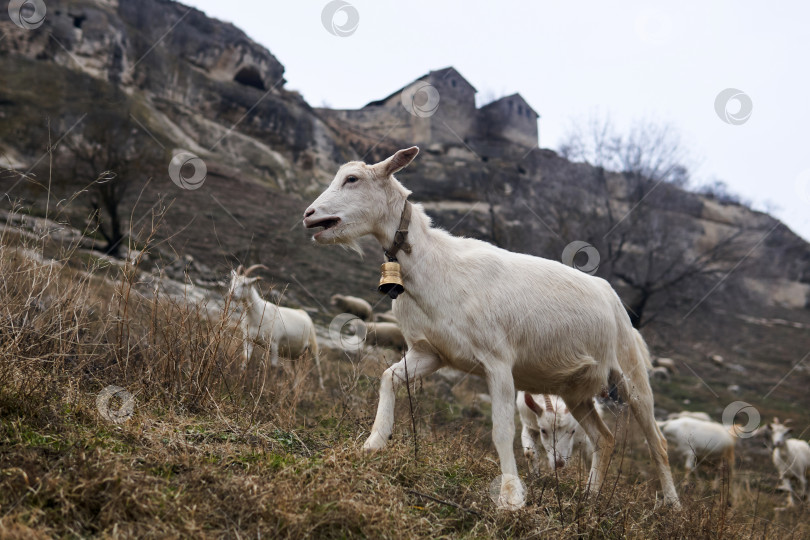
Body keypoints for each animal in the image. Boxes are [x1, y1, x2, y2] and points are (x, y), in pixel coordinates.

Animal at [300, 146, 680, 508]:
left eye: (352, 179)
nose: (309, 215)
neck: (436, 266)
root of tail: (614, 300)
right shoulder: (430, 353)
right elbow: (388, 379)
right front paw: (373, 444)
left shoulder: (498, 362)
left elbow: (501, 431)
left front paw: (510, 497)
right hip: (575, 390)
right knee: (605, 437)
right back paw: (589, 498)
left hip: (631, 373)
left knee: (657, 441)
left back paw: (672, 506)